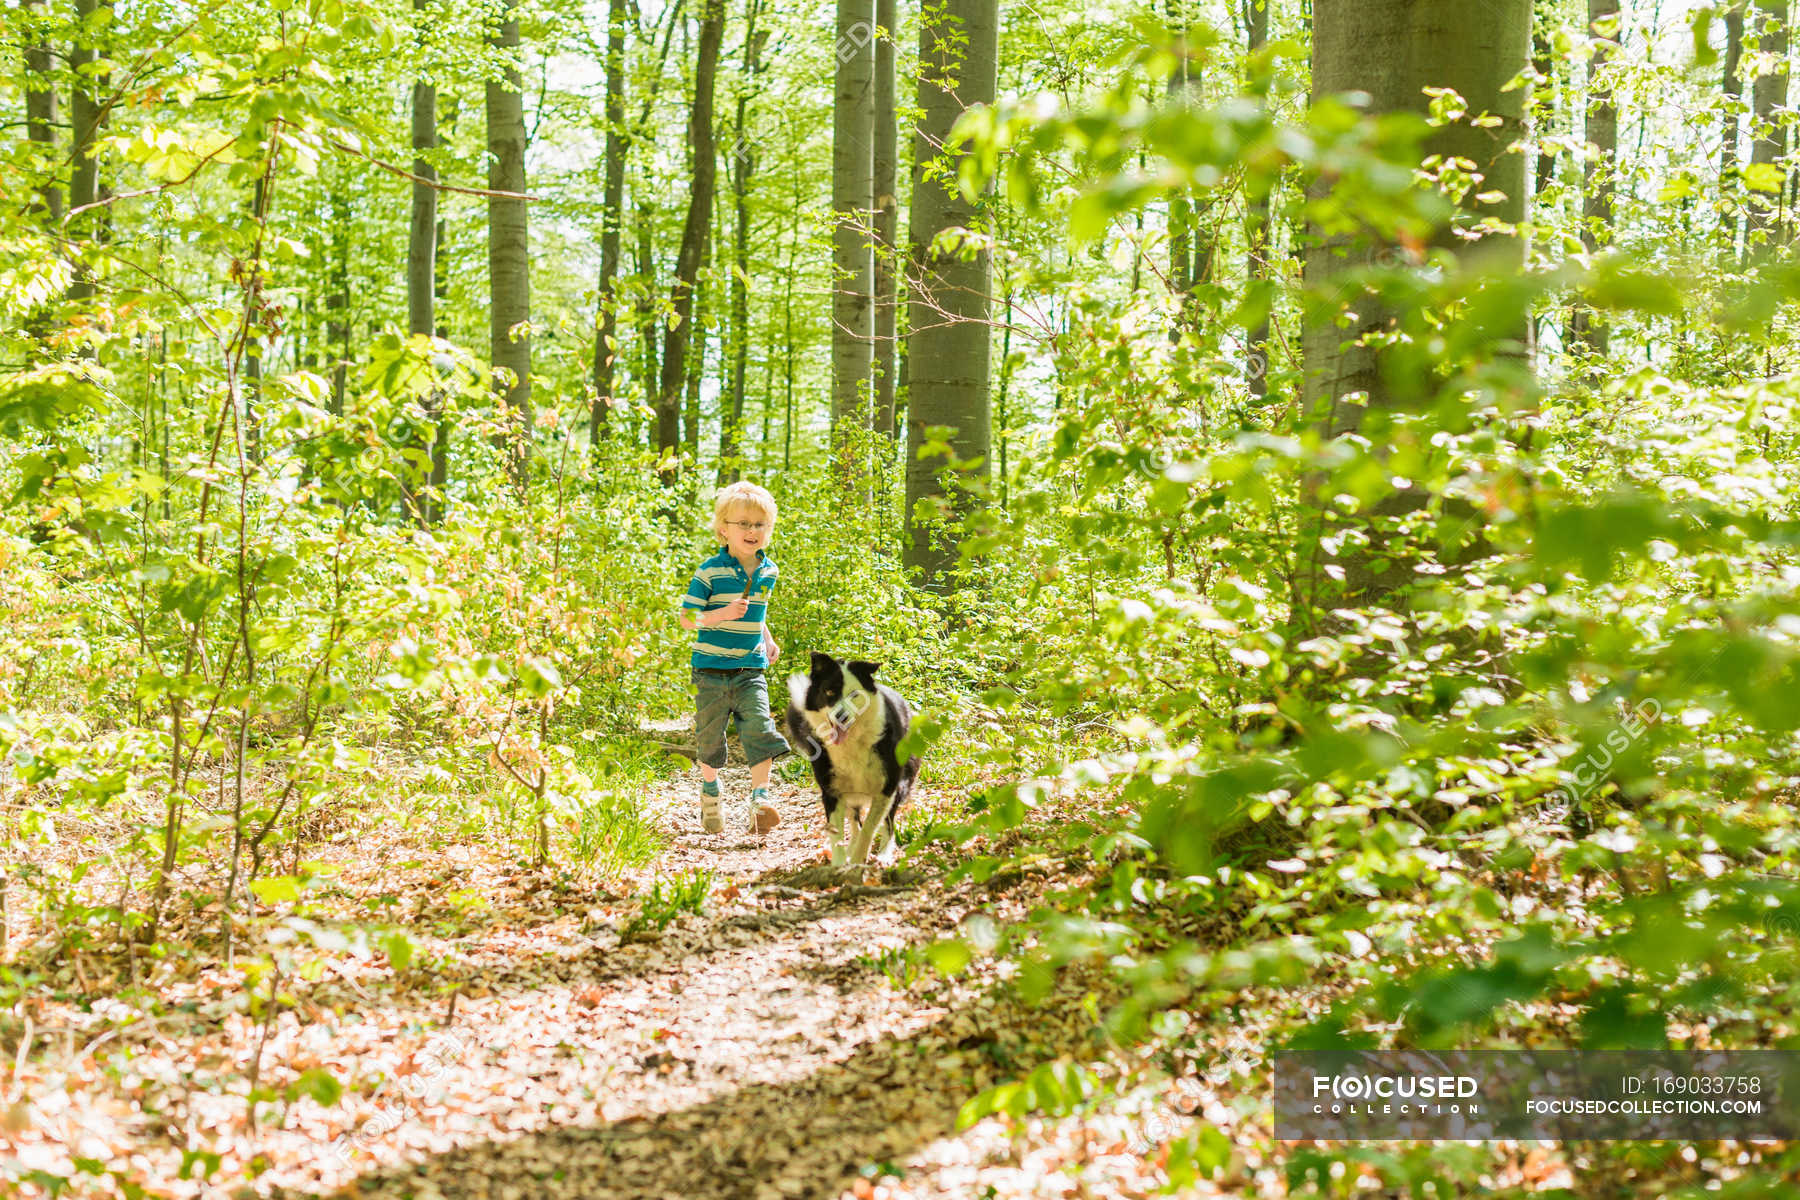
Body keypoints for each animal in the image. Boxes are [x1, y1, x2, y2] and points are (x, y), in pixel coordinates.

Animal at [788, 651, 921, 867]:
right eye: (829, 692)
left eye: (854, 695)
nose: (841, 716)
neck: (851, 742)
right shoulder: (831, 791)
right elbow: (837, 835)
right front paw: (840, 865)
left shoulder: (886, 788)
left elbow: (870, 827)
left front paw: (859, 860)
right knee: (854, 818)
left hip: (901, 784)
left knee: (887, 822)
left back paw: (883, 855)